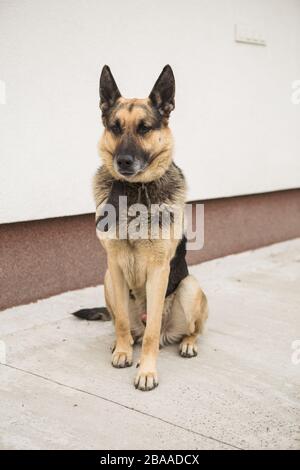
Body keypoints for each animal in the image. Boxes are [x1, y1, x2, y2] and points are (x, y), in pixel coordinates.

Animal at [73, 64, 209, 392]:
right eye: (115, 127)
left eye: (145, 128)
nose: (123, 161)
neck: (134, 191)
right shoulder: (114, 265)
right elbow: (121, 320)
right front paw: (123, 351)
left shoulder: (159, 270)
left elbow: (150, 334)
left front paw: (147, 371)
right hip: (107, 279)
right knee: (127, 325)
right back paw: (120, 342)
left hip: (190, 287)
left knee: (183, 330)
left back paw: (187, 343)